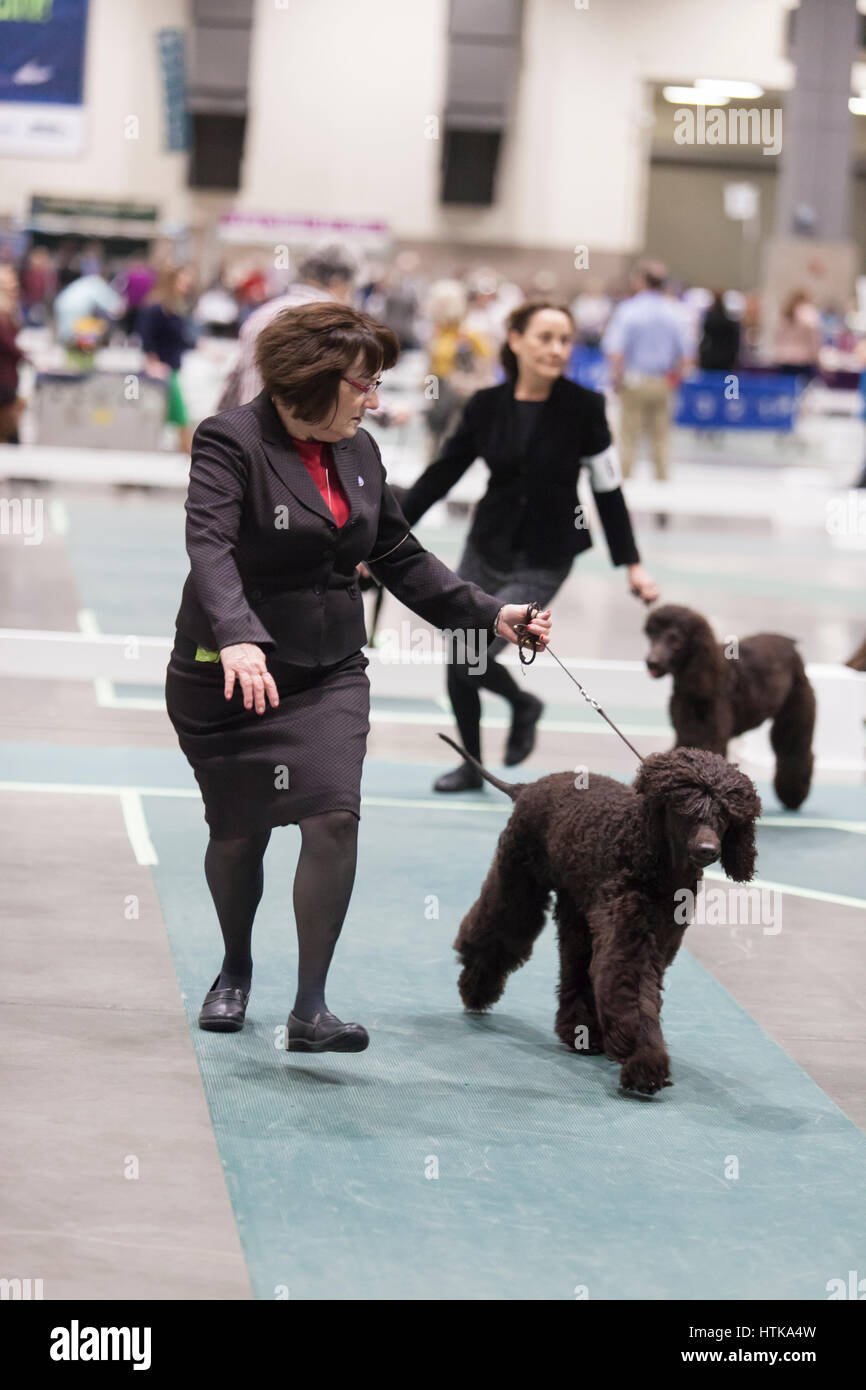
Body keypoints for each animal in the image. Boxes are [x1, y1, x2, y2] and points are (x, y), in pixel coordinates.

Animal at [444, 733, 761, 1100]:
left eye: (724, 813)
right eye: (685, 808)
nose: (708, 850)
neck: (658, 861)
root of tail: (529, 787)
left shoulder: (659, 939)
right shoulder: (630, 940)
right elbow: (634, 995)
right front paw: (646, 1062)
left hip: (576, 910)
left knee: (575, 967)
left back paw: (580, 1033)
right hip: (519, 881)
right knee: (496, 927)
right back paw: (475, 989)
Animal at [647, 600, 817, 811]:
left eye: (675, 640)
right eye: (652, 636)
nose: (652, 662)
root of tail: (789, 643)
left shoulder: (707, 736)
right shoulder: (686, 733)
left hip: (794, 717)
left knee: (795, 752)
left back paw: (793, 796)